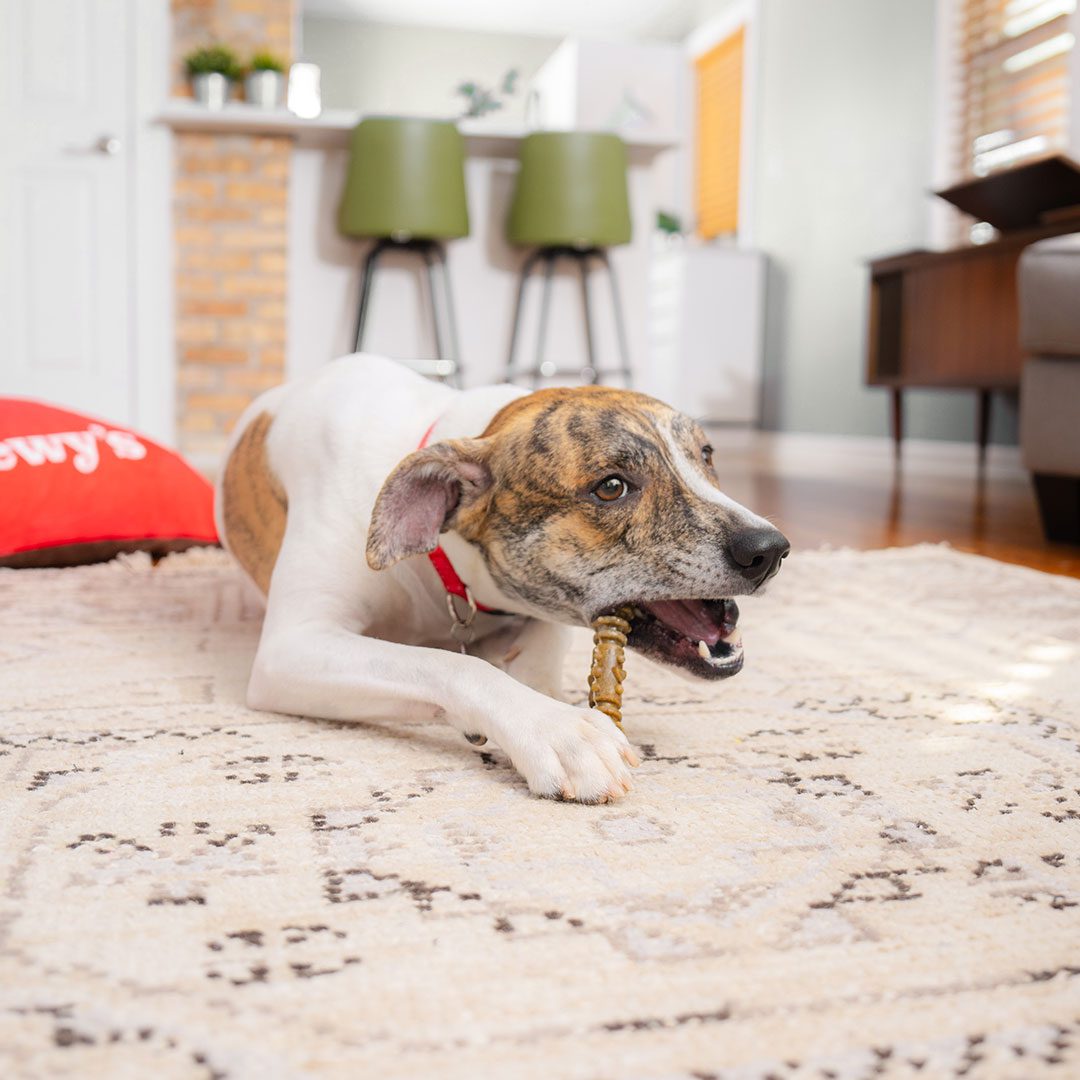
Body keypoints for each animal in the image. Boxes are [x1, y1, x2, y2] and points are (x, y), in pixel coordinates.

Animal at [214, 354, 790, 803]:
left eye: (706, 455)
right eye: (611, 487)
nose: (768, 549)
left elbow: (538, 651)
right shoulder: (291, 649)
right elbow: (452, 665)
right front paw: (559, 730)